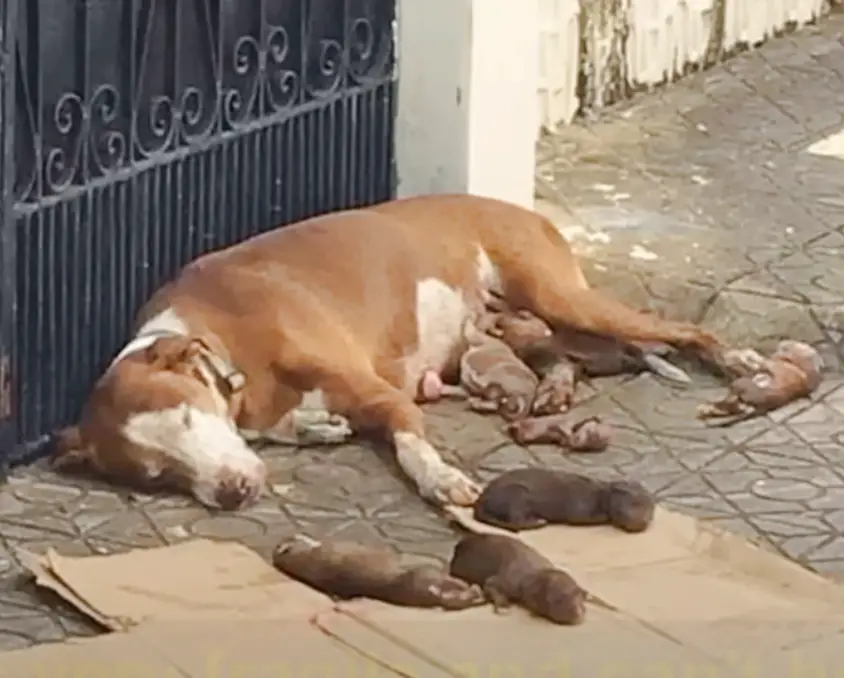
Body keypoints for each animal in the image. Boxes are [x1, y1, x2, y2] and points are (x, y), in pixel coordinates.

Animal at [44, 194, 720, 512]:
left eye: (188, 418)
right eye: (157, 477)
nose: (232, 492)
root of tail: (520, 208)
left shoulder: (381, 393)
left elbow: (410, 443)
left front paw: (441, 479)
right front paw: (315, 427)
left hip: (562, 296)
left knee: (686, 332)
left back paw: (735, 369)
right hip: (534, 323)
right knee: (569, 356)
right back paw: (555, 388)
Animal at [452, 536, 584, 628]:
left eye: (579, 595)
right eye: (558, 600)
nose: (578, 612)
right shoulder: (506, 580)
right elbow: (490, 584)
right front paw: (501, 602)